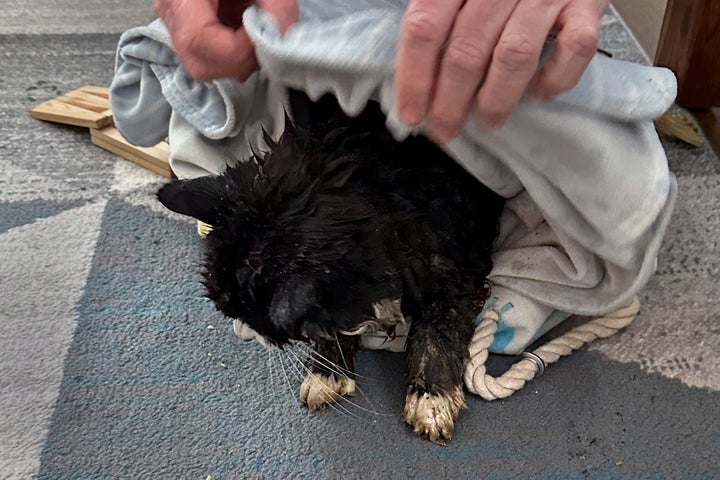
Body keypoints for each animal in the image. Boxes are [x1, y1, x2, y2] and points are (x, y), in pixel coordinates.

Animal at [158, 92, 506, 444]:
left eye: (254, 319)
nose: (244, 333)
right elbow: (334, 323)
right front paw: (326, 371)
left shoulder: (456, 266)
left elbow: (438, 331)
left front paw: (432, 397)